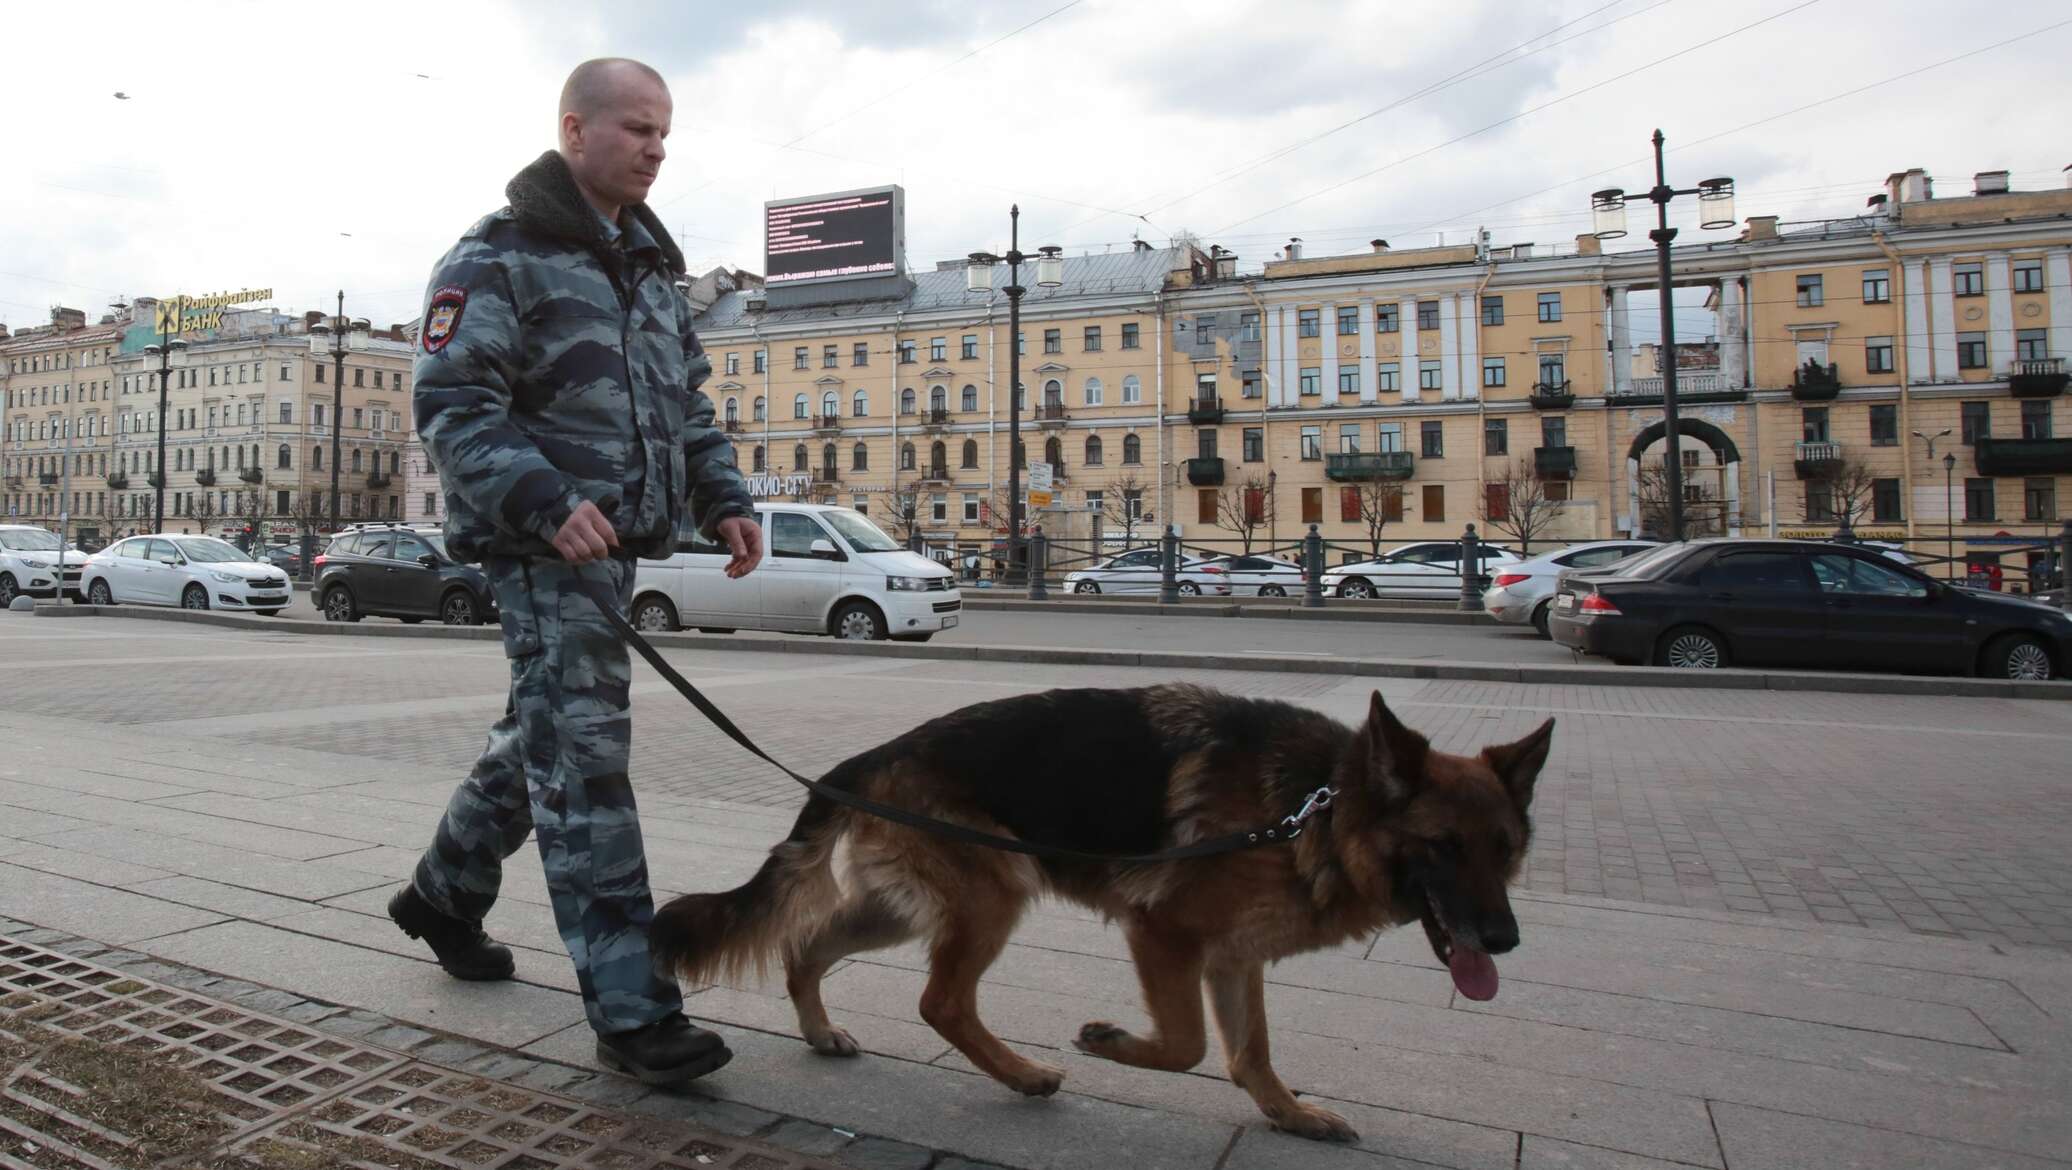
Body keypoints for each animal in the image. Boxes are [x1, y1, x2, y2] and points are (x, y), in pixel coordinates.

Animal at [654, 679, 1549, 1134]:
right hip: (991, 899)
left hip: (907, 908)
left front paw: (1287, 1114)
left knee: (805, 946)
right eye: (1444, 847)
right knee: (942, 1001)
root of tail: (878, 751)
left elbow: (1249, 1052)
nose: (1505, 940)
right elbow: (1189, 1046)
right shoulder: (1164, 933)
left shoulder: (1235, 956)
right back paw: (1021, 1073)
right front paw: (1110, 1042)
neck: (1320, 807)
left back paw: (820, 1030)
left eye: (1505, 850)